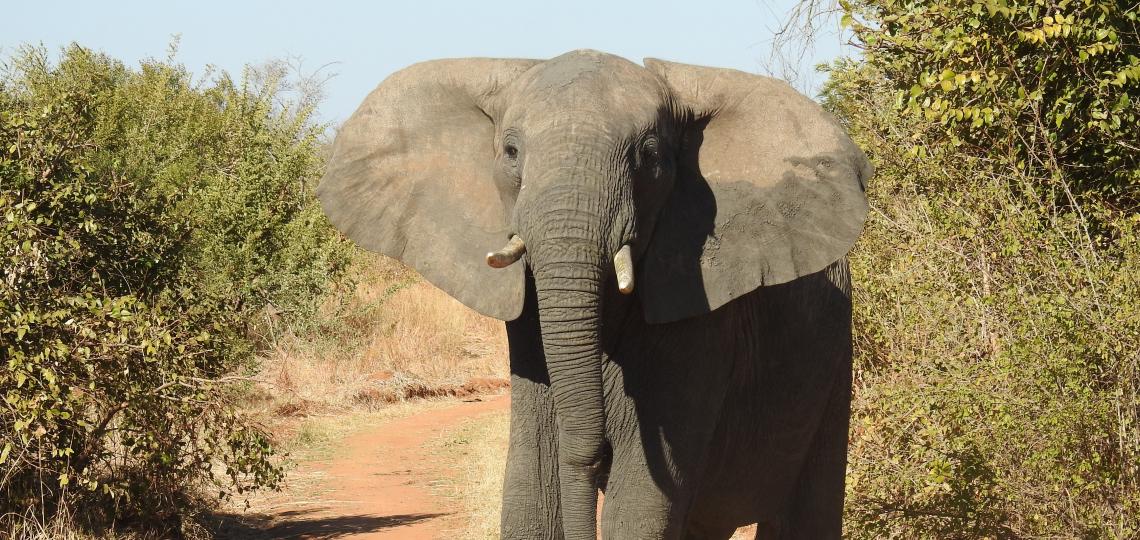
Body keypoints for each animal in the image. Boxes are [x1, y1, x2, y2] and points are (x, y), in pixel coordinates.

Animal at [321, 48, 870, 537]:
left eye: (649, 156)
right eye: (511, 152)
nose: (594, 456)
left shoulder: (698, 311)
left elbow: (641, 504)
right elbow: (529, 493)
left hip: (833, 362)